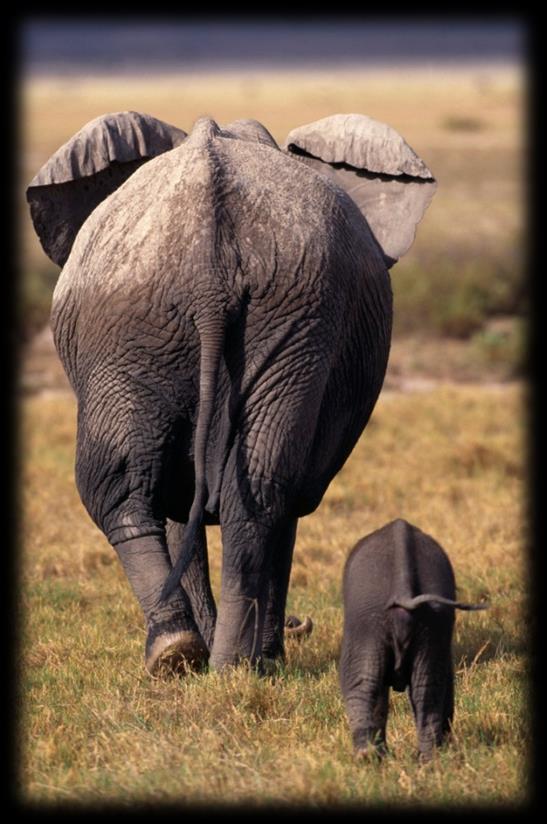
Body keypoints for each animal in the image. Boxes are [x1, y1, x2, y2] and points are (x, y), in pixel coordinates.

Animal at [25, 109, 438, 676]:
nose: (303, 625)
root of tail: (208, 267)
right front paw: (256, 655)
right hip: (166, 315)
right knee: (245, 490)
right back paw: (211, 659)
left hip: (254, 311)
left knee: (178, 489)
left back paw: (200, 658)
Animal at [342, 520, 488, 764]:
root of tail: (403, 591)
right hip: (431, 624)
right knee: (427, 689)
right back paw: (427, 761)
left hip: (365, 624)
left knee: (362, 683)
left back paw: (367, 756)